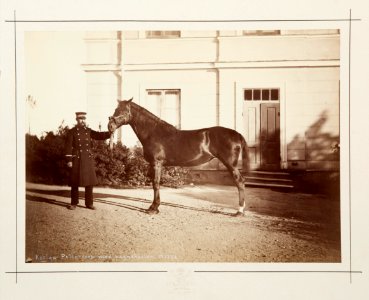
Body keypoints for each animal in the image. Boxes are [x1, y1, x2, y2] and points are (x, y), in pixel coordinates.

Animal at [108, 98, 249, 216]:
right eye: (115, 109)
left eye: (123, 111)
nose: (110, 126)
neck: (153, 133)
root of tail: (237, 134)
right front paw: (154, 206)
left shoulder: (156, 163)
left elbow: (156, 184)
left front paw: (153, 208)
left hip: (231, 164)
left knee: (240, 182)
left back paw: (239, 211)